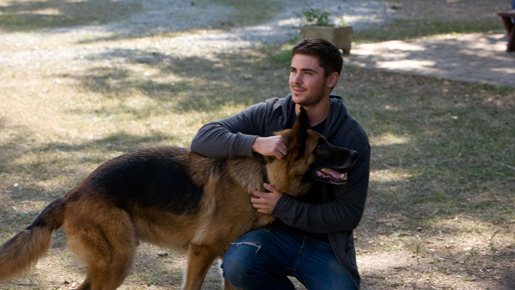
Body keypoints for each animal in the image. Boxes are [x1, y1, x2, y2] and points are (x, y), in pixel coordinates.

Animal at [0, 107, 358, 288]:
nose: (356, 153)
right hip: (118, 261)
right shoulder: (201, 252)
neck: (265, 173)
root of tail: (72, 194)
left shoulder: (228, 260)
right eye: (321, 147)